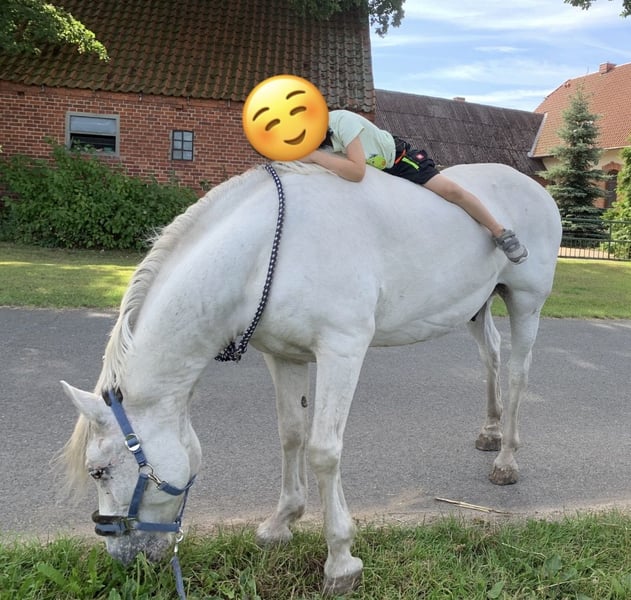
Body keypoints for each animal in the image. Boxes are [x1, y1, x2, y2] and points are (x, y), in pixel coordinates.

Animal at [61, 161, 561, 595]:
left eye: (99, 470)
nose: (123, 558)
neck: (263, 253)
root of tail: (533, 187)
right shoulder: (283, 357)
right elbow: (292, 436)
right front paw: (281, 522)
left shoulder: (342, 350)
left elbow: (323, 450)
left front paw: (341, 560)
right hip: (479, 306)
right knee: (491, 355)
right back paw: (490, 432)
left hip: (526, 302)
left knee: (518, 373)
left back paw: (507, 459)